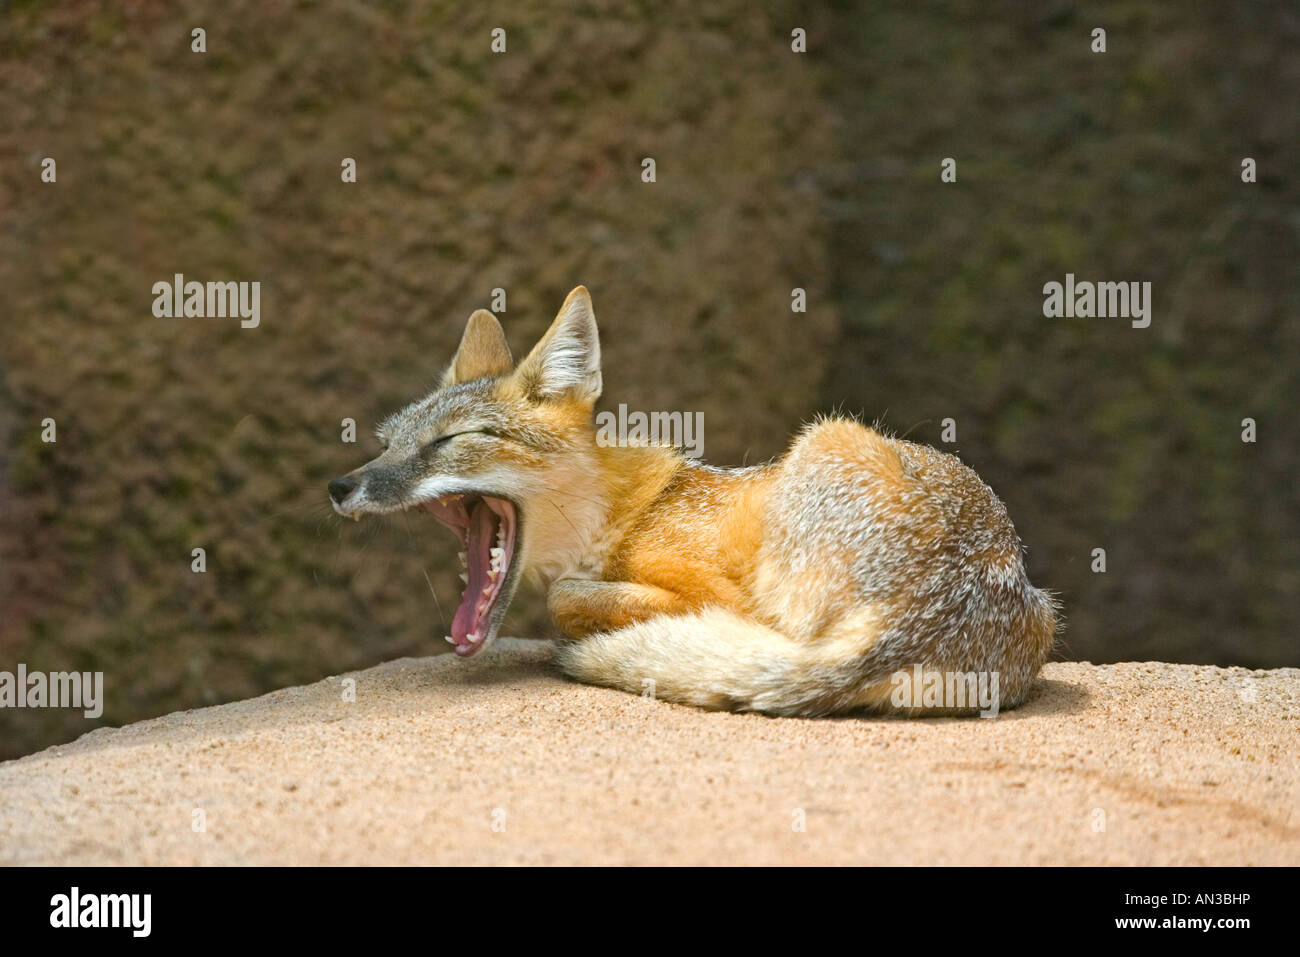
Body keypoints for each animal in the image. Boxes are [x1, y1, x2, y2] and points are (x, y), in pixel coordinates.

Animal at [325, 287, 1055, 712]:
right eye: (387, 443)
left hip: (827, 434)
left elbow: (568, 597)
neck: (626, 513)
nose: (340, 486)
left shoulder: (715, 589)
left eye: (454, 440)